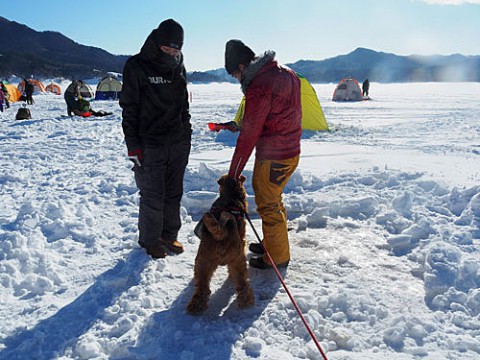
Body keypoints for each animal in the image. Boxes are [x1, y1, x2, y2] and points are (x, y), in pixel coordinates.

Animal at [187, 175, 255, 316]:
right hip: (238, 259)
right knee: (242, 284)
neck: (229, 196)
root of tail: (221, 234)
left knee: (202, 289)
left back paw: (195, 307)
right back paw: (247, 302)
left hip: (202, 261)